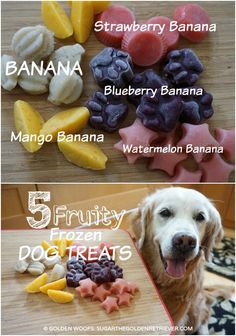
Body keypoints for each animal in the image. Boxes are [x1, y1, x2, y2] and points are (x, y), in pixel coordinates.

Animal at [132, 188, 224, 334]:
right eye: (165, 212)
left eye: (200, 217)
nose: (185, 241)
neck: (165, 282)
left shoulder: (178, 320)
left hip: (195, 309)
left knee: (205, 315)